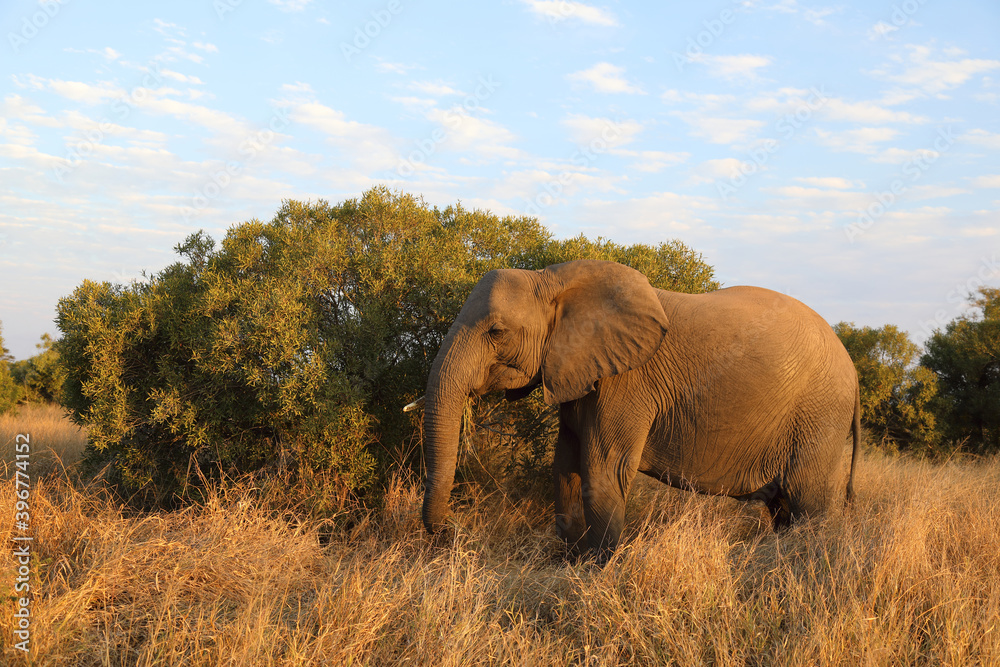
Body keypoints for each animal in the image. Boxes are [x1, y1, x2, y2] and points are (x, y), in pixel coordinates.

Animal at [414, 258, 860, 560]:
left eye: (496, 332)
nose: (452, 534)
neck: (554, 279)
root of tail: (854, 372)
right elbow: (566, 466)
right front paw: (571, 563)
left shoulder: (626, 383)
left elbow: (602, 468)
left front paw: (596, 572)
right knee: (783, 508)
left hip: (819, 416)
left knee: (808, 504)